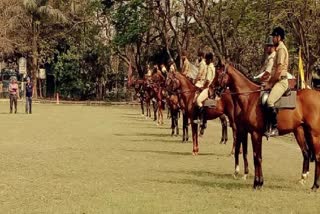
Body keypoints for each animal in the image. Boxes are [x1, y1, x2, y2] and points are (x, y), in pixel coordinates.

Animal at [215, 62, 320, 190]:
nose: (212, 91)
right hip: (303, 132)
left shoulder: (254, 133)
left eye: (219, 73)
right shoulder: (249, 132)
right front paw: (258, 182)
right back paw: (305, 179)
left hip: (313, 134)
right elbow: (255, 156)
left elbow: (256, 158)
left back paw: (315, 185)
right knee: (307, 153)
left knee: (316, 156)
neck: (249, 99)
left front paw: (257, 183)